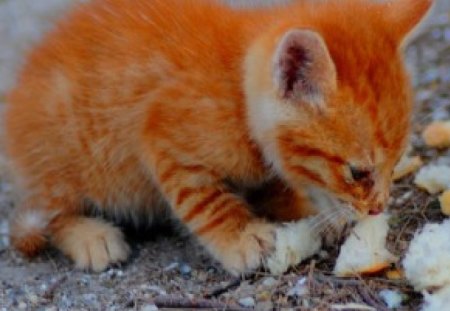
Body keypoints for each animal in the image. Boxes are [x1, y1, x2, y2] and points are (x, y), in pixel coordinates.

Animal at [4, 0, 432, 274]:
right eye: (358, 172)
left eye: (396, 163)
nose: (378, 208)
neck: (236, 93)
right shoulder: (160, 137)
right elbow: (205, 200)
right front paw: (240, 238)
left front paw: (303, 208)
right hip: (65, 157)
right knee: (48, 213)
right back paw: (90, 236)